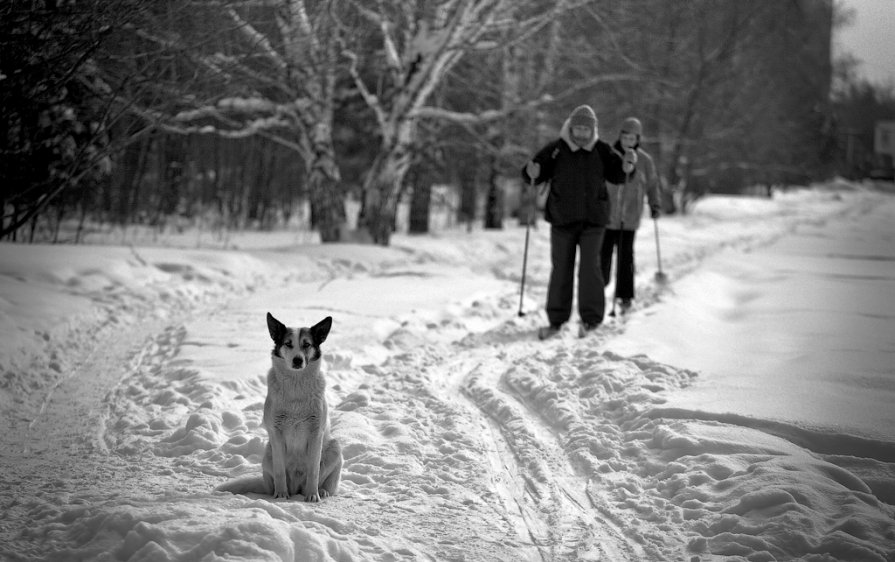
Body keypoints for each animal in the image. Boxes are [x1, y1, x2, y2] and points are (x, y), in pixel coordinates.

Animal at [262, 310, 344, 498]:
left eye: (306, 344)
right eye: (288, 344)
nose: (298, 360)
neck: (296, 384)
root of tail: (297, 489)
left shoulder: (316, 433)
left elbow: (314, 470)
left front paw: (313, 496)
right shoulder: (276, 433)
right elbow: (279, 471)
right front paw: (281, 496)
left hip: (335, 448)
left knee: (325, 481)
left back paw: (321, 491)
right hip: (267, 453)